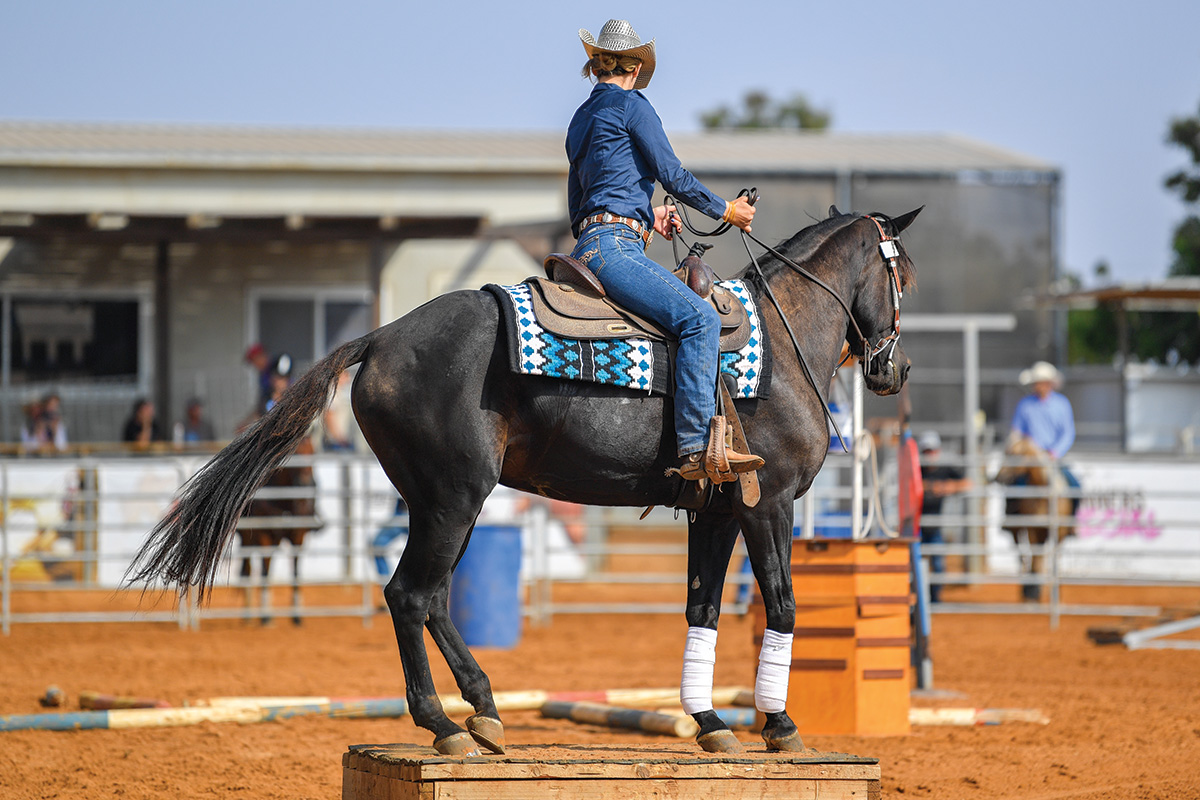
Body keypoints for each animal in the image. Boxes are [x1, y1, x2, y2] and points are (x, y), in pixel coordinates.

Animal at [126, 206, 916, 758]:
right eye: (900, 272)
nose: (895, 369)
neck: (784, 340)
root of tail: (379, 338)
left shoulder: (716, 512)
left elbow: (704, 609)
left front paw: (710, 721)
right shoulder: (768, 503)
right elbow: (782, 605)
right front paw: (778, 724)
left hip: (444, 503)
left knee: (432, 597)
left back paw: (483, 709)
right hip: (453, 499)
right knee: (409, 594)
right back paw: (445, 724)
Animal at [993, 438, 1080, 599]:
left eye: (1016, 456)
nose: (997, 478)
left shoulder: (1059, 532)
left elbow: (1053, 558)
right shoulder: (1032, 529)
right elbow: (1035, 556)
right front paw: (1032, 589)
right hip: (1018, 531)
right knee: (1023, 556)